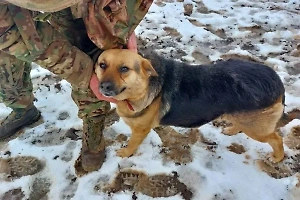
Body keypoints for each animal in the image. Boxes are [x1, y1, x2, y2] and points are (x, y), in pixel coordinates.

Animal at [95, 48, 284, 162]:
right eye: (102, 65)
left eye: (124, 69)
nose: (103, 87)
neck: (145, 86)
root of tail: (276, 81)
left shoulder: (140, 130)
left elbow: (132, 144)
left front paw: (125, 153)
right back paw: (231, 129)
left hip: (257, 129)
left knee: (276, 138)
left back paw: (278, 157)